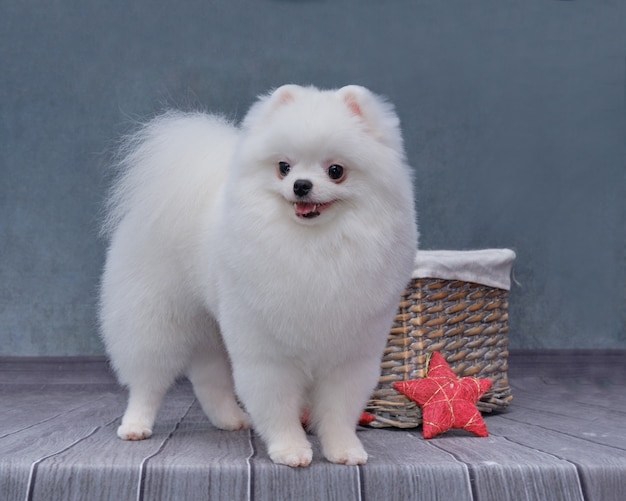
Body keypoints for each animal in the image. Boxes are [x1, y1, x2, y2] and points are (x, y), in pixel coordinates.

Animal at [100, 83, 416, 464]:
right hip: (157, 320)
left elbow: (339, 411)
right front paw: (290, 449)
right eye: (284, 167)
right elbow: (278, 406)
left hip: (214, 330)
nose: (301, 185)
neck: (314, 246)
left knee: (210, 381)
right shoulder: (268, 351)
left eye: (336, 170)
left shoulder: (350, 353)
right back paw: (135, 425)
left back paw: (231, 419)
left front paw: (344, 449)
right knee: (148, 379)